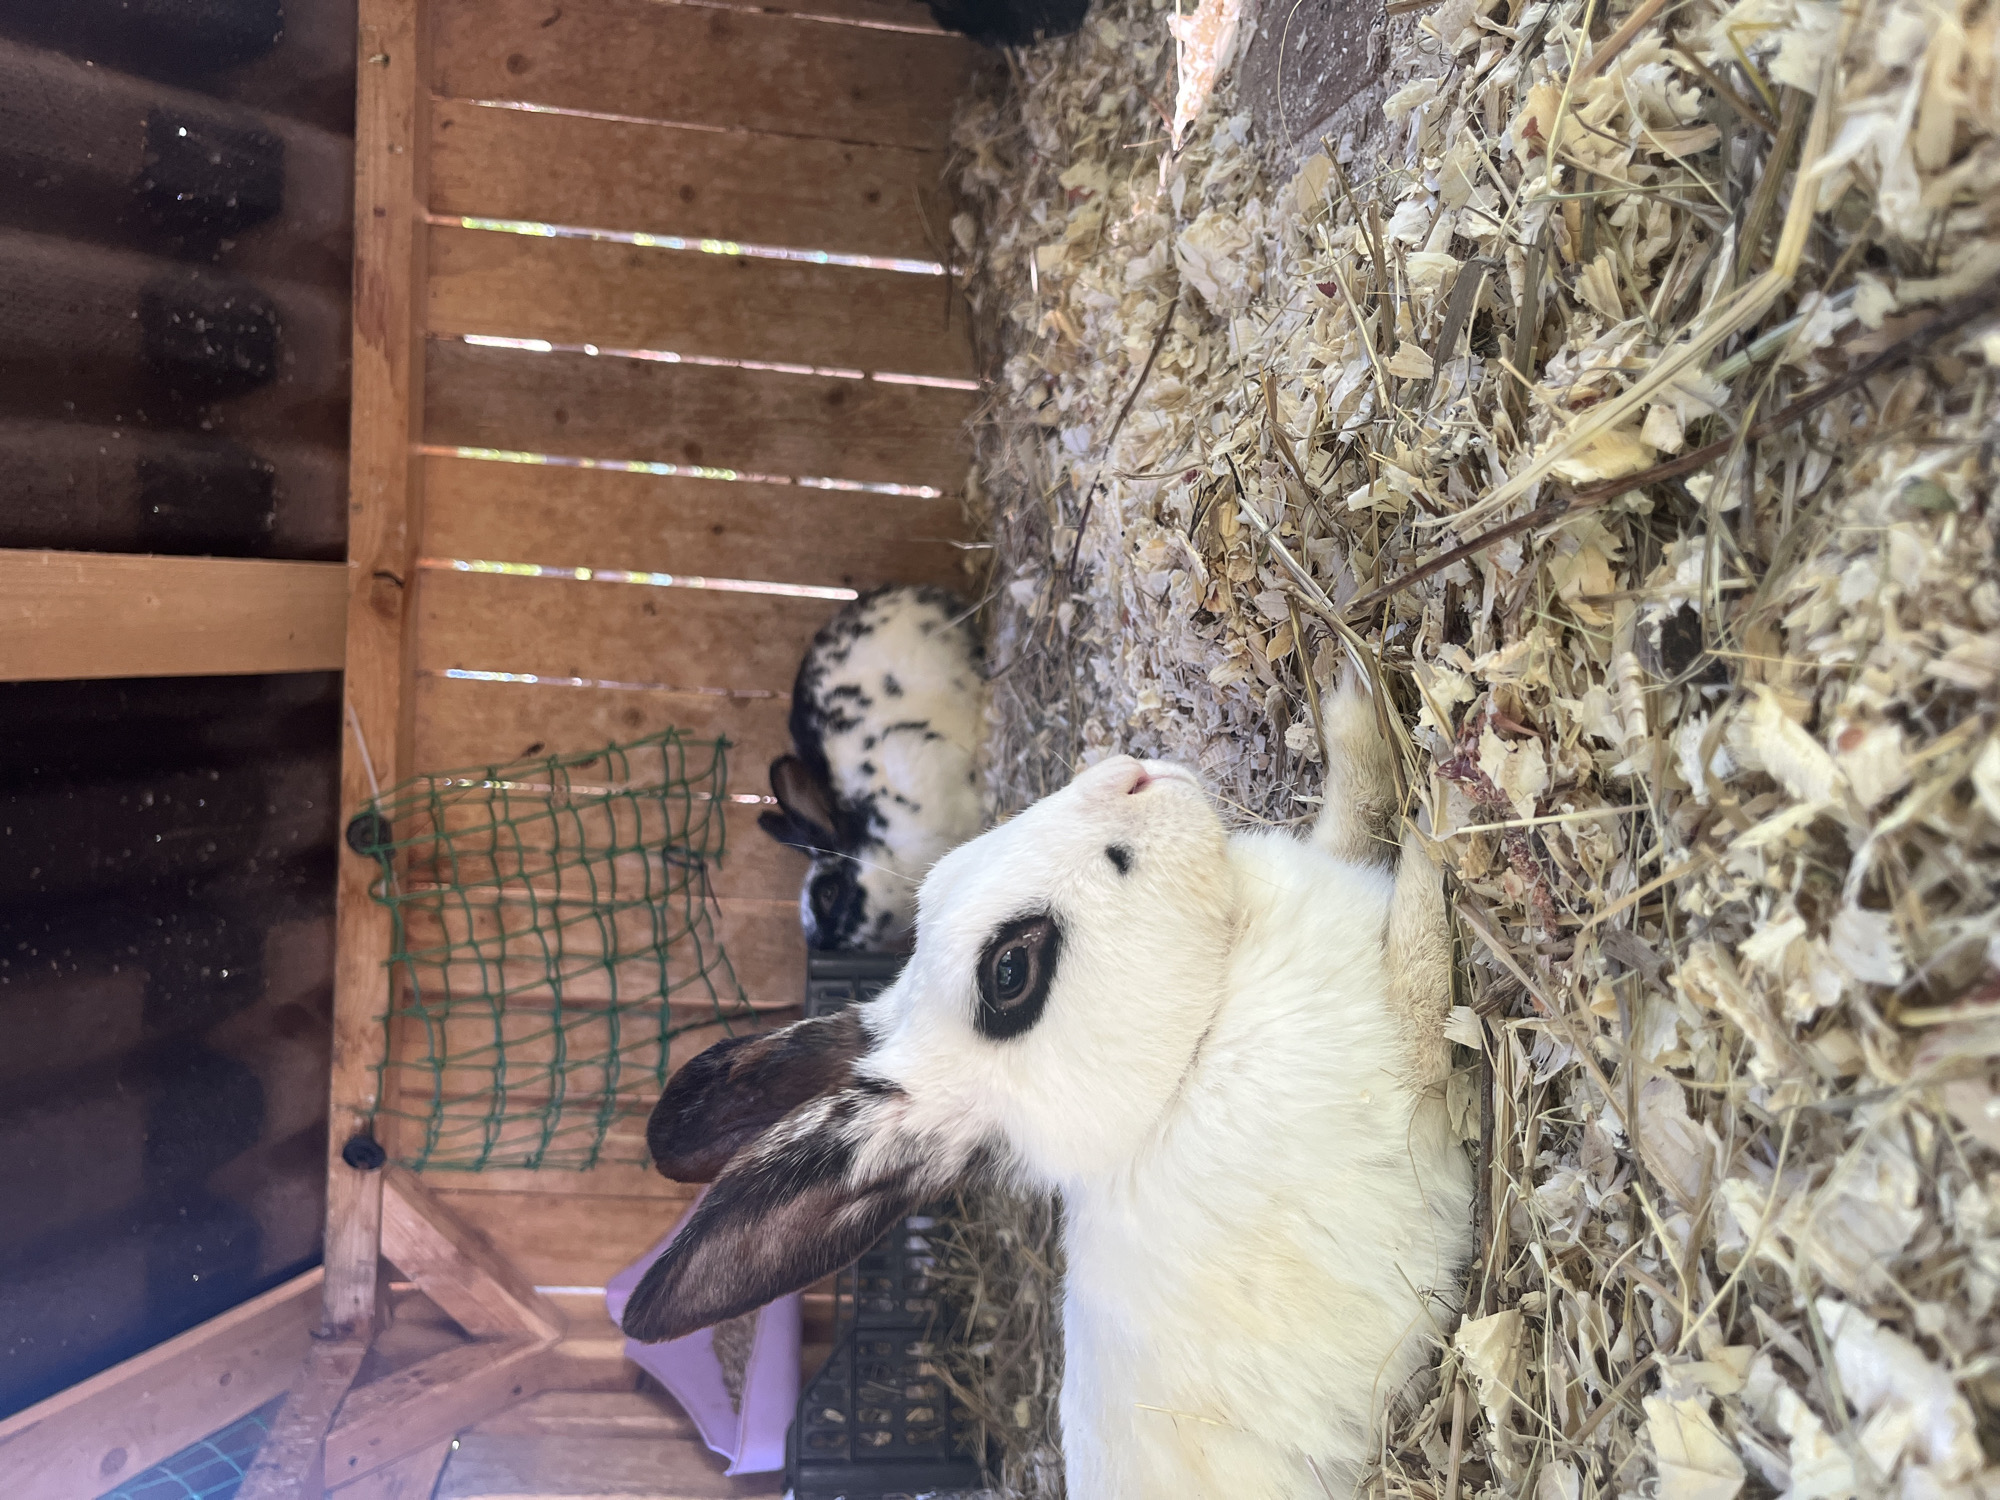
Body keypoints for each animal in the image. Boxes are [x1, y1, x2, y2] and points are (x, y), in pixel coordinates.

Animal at [626, 676, 1476, 1500]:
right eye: (1011, 971)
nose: (1130, 776)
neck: (1178, 1076)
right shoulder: (1406, 1063)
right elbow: (1422, 948)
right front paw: (1445, 810)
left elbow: (1354, 819)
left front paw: (1356, 715)